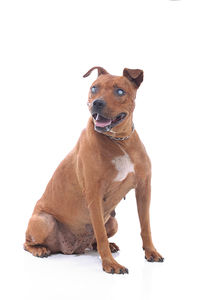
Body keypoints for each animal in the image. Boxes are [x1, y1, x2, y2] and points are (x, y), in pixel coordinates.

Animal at [23, 67, 164, 274]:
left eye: (120, 91)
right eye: (94, 88)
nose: (97, 103)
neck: (120, 141)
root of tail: (68, 249)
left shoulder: (144, 189)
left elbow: (145, 225)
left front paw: (151, 252)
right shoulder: (94, 195)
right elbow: (100, 233)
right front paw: (110, 264)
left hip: (113, 221)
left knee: (95, 240)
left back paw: (108, 245)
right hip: (43, 220)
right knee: (27, 243)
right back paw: (40, 249)